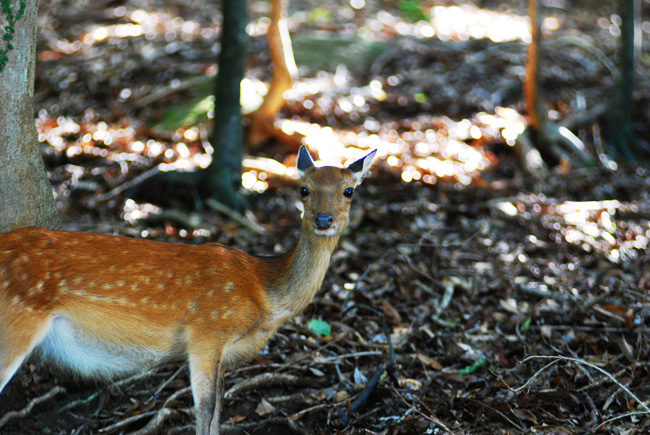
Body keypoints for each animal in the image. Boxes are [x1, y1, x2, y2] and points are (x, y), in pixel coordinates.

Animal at [0, 147, 374, 435]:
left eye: (349, 191)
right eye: (304, 189)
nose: (324, 220)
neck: (264, 295)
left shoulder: (224, 352)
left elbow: (219, 412)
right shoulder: (207, 332)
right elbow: (204, 412)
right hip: (14, 325)